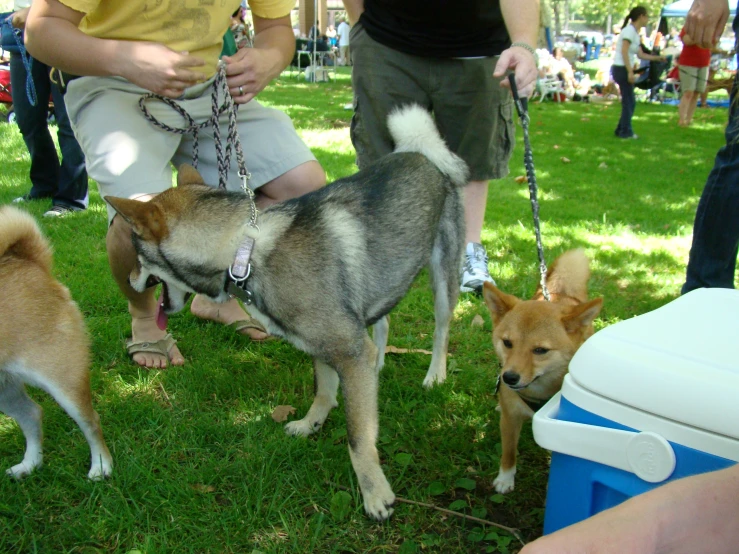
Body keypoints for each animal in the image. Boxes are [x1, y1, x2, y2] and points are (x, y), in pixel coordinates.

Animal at [0, 205, 112, 476]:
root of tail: (29, 262)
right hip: (5, 386)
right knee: (31, 414)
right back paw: (29, 464)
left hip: (62, 377)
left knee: (91, 421)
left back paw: (101, 466)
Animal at [104, 103, 468, 516]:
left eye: (137, 254)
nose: (128, 278)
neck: (244, 252)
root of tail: (422, 153)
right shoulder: (327, 347)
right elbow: (325, 391)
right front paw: (311, 424)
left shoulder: (346, 350)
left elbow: (358, 437)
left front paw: (375, 492)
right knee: (381, 324)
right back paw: (378, 364)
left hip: (443, 278)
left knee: (441, 331)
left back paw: (435, 375)